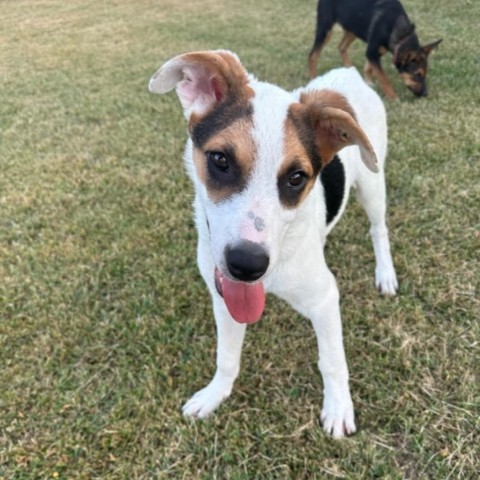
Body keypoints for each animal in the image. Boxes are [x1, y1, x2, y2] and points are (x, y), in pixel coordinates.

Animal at [150, 50, 398, 436]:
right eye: (220, 160)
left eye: (296, 178)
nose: (246, 265)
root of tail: (349, 73)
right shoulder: (224, 299)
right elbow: (226, 357)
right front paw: (215, 394)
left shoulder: (325, 299)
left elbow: (332, 361)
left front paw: (339, 407)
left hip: (373, 185)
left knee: (378, 229)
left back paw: (385, 273)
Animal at [308, 0, 442, 98]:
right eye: (417, 74)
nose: (425, 94)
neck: (401, 35)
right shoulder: (372, 51)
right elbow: (383, 78)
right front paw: (394, 97)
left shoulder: (375, 52)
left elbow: (369, 68)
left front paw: (368, 82)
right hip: (326, 29)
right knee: (313, 55)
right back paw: (313, 79)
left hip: (353, 27)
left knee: (341, 46)